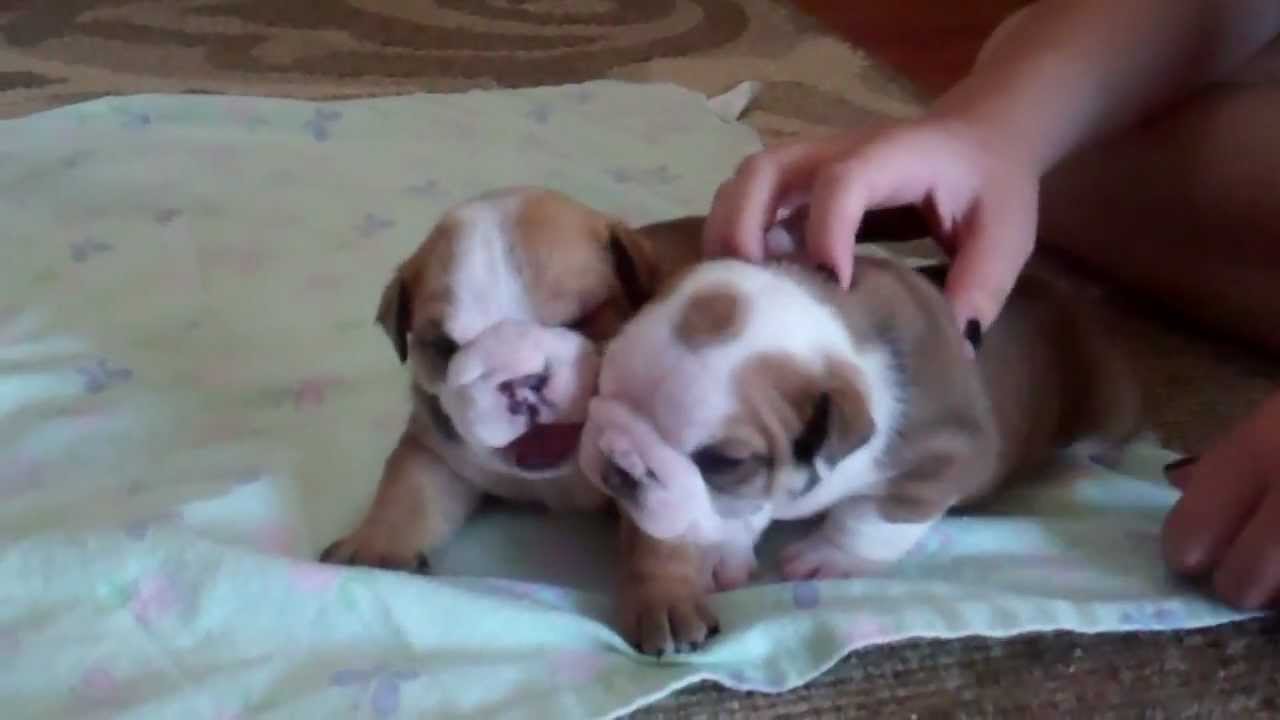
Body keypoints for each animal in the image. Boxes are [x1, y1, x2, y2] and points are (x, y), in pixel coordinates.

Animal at [318, 185, 701, 571]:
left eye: (584, 319)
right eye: (445, 347)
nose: (520, 380)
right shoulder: (438, 450)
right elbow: (408, 490)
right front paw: (375, 549)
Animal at [581, 249, 1141, 653]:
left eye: (723, 462)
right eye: (600, 381)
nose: (619, 458)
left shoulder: (944, 455)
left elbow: (874, 516)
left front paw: (829, 554)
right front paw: (719, 548)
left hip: (1107, 405)